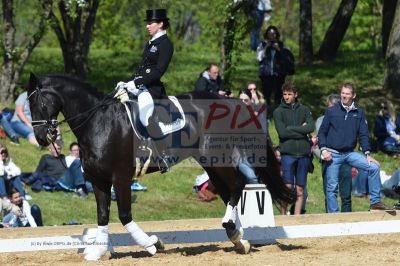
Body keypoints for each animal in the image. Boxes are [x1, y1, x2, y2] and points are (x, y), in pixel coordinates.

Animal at [26, 74, 292, 260]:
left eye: (39, 102)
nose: (40, 138)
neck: (98, 122)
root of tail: (228, 100)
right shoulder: (98, 180)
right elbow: (102, 216)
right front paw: (97, 251)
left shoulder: (120, 177)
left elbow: (124, 216)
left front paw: (153, 244)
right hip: (208, 162)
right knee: (228, 192)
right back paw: (238, 238)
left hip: (216, 155)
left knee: (238, 184)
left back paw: (231, 228)